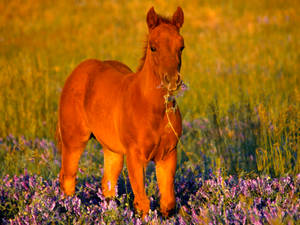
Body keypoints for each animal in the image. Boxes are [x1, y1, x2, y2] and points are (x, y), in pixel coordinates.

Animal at [55, 6, 184, 216]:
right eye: (153, 47)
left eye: (181, 46)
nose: (172, 80)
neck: (152, 109)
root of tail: (78, 71)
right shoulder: (134, 156)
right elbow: (142, 203)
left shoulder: (168, 154)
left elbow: (168, 203)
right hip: (73, 140)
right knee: (67, 179)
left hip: (112, 149)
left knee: (107, 185)